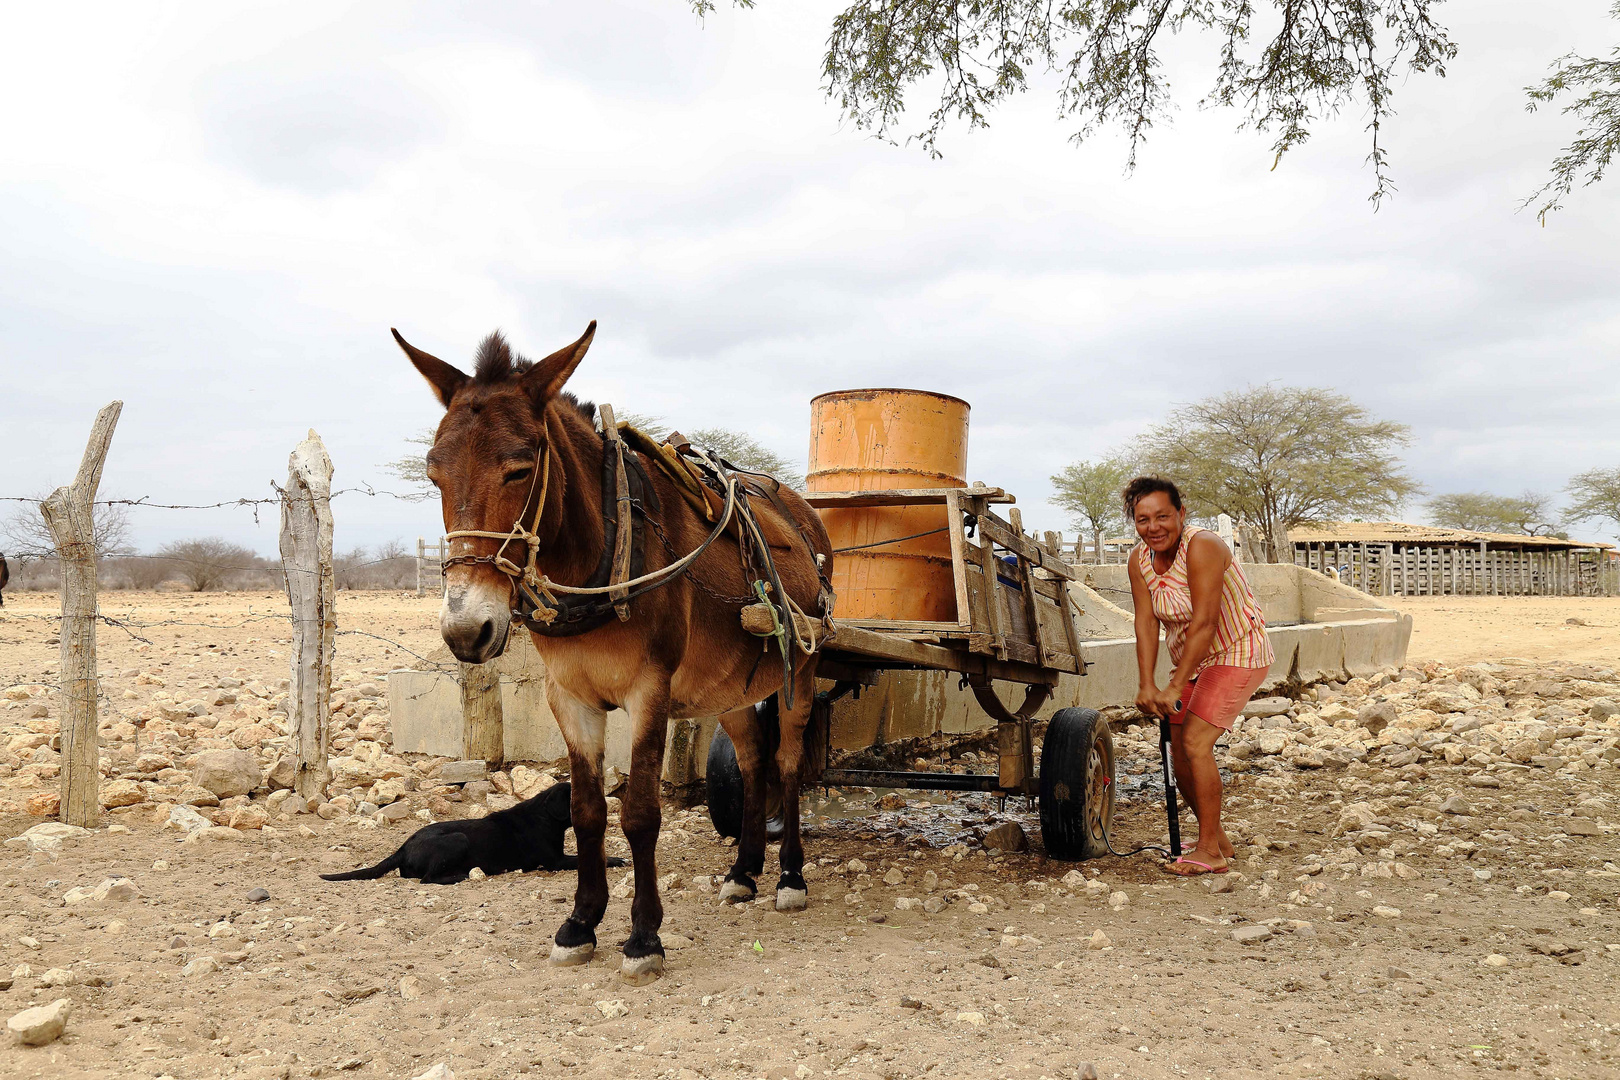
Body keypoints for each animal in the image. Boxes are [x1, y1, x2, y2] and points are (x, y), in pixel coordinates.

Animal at [319, 786, 622, 887]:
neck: (545, 816)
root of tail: (403, 847)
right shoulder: (555, 861)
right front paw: (617, 860)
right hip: (457, 840)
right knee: (428, 879)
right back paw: (459, 876)